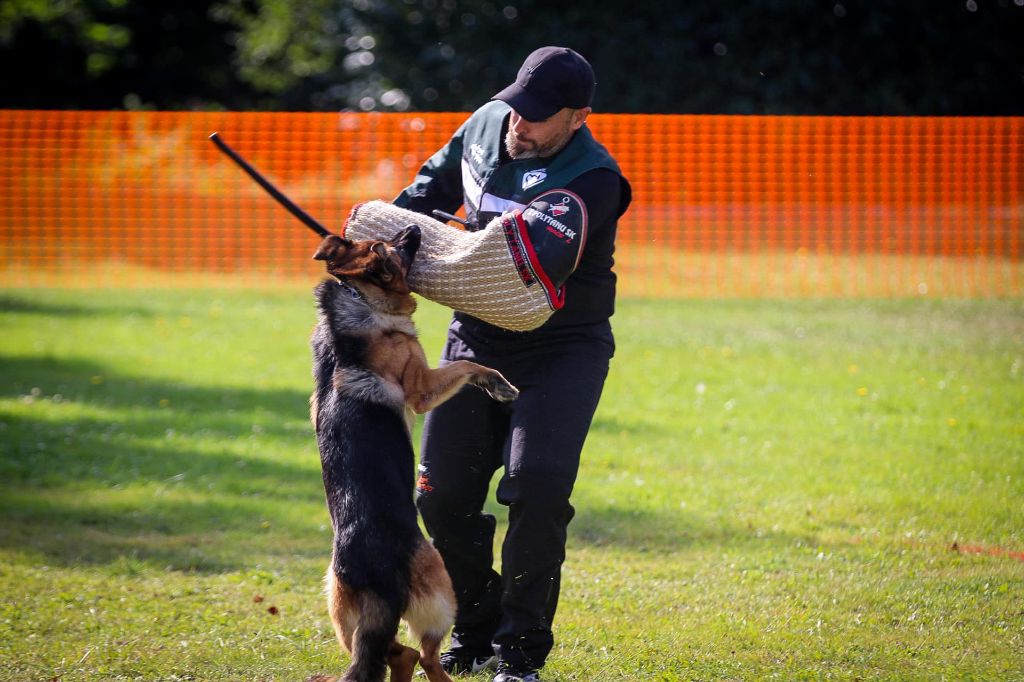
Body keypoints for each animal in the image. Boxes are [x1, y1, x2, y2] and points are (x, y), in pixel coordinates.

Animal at [307, 224, 520, 679]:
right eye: (392, 247)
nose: (412, 226)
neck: (358, 297)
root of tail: (377, 574)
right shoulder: (422, 388)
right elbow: (467, 366)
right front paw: (497, 382)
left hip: (341, 609)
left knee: (393, 653)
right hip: (441, 588)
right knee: (424, 654)